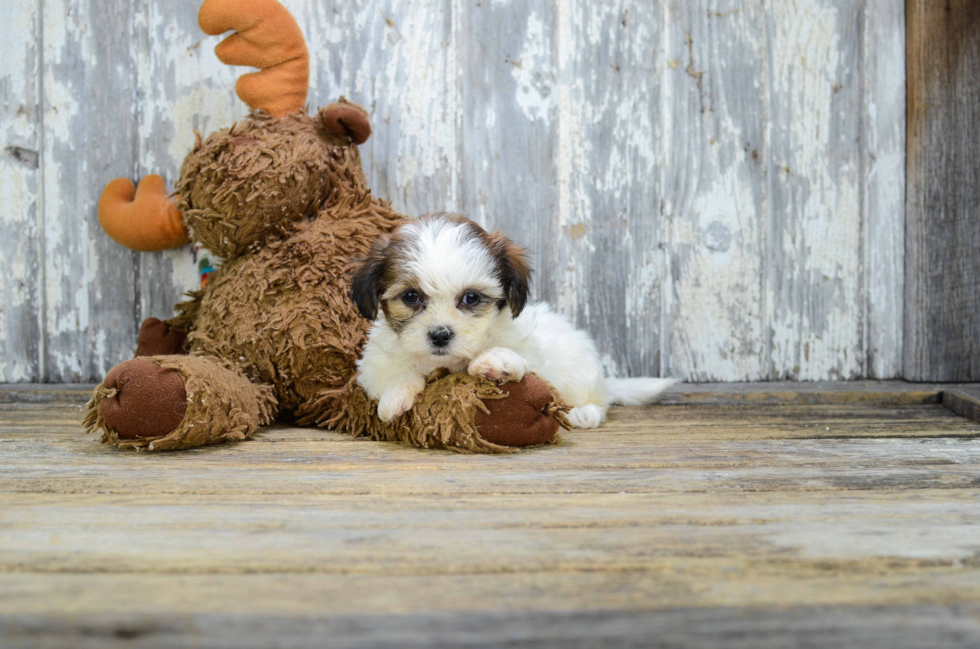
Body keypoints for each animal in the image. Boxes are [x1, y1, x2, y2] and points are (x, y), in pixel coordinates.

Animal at [348, 211, 676, 426]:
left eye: (471, 298)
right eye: (411, 297)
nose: (440, 335)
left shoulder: (531, 353)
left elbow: (520, 361)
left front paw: (496, 361)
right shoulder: (373, 363)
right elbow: (391, 371)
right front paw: (395, 396)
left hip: (582, 373)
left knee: (597, 402)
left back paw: (582, 413)